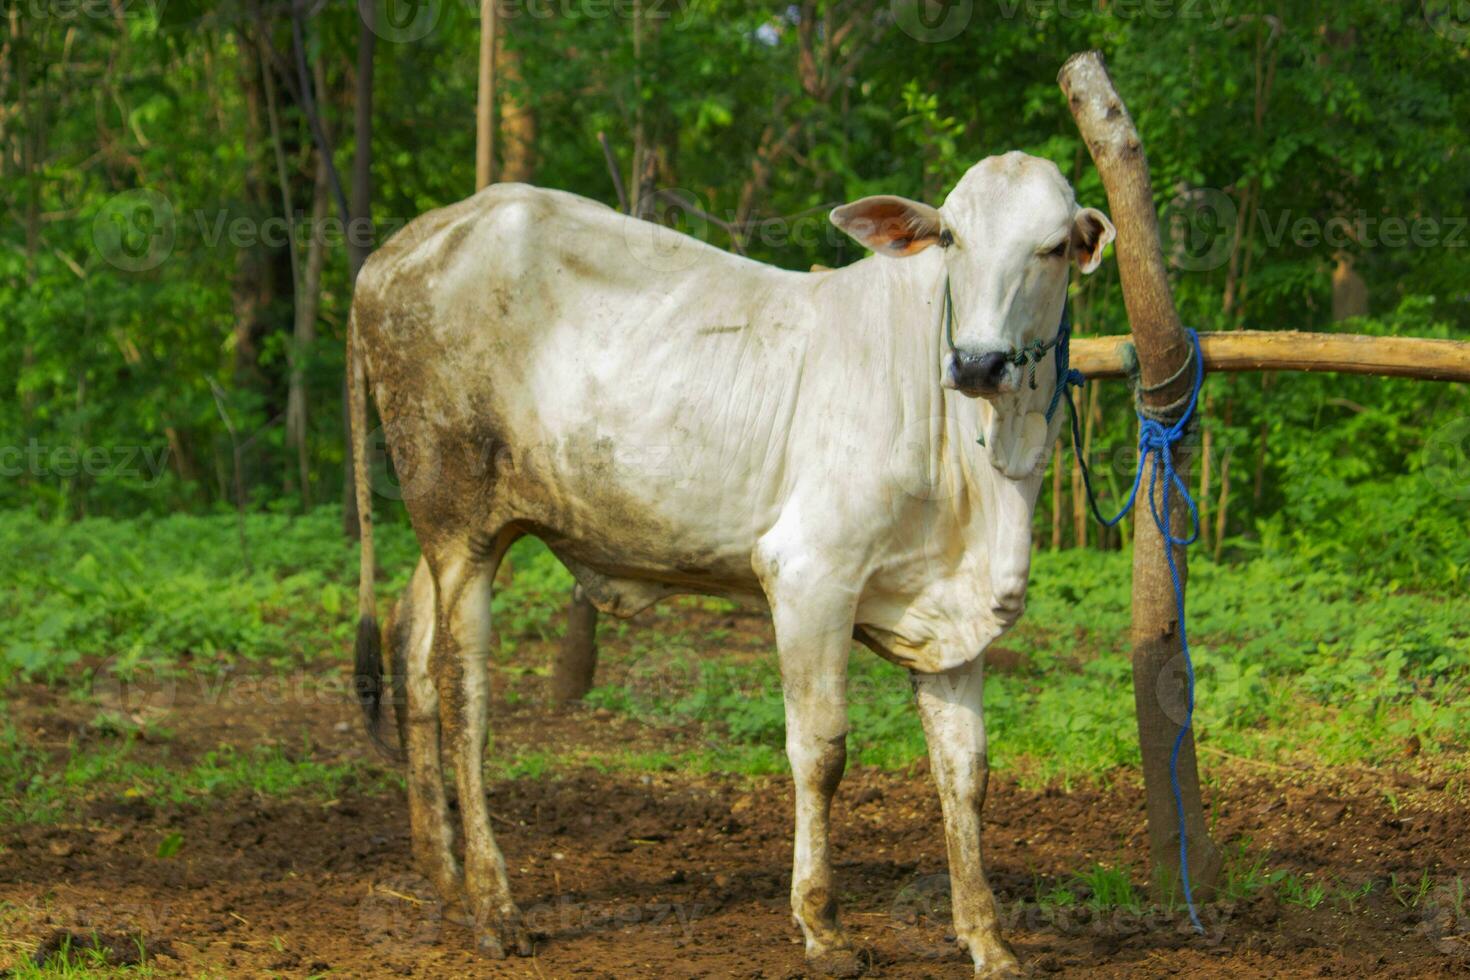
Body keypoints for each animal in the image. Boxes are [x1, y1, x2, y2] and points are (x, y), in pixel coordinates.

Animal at [349, 149, 1111, 975]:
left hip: (458, 534)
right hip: (458, 521)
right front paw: (822, 926)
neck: (984, 461)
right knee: (464, 699)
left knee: (412, 651)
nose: (977, 363)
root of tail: (391, 256)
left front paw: (987, 939)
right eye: (950, 238)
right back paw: (495, 908)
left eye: (1055, 247)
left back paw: (445, 877)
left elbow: (966, 772)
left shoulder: (950, 612)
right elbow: (821, 752)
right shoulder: (810, 576)